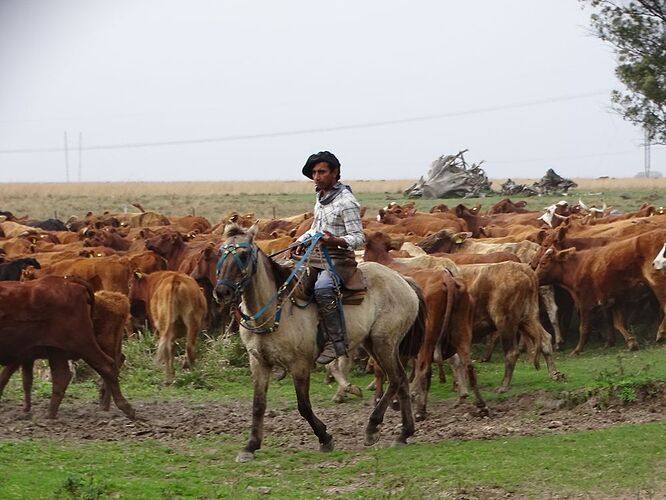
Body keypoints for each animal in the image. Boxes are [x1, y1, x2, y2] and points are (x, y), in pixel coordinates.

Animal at [215, 223, 428, 460]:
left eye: (244, 254)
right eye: (221, 252)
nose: (222, 291)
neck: (274, 309)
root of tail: (403, 281)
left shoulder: (299, 364)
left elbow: (304, 406)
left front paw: (325, 438)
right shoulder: (259, 362)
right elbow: (258, 405)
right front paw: (250, 446)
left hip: (384, 342)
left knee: (397, 379)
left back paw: (373, 428)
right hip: (374, 344)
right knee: (400, 380)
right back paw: (404, 433)